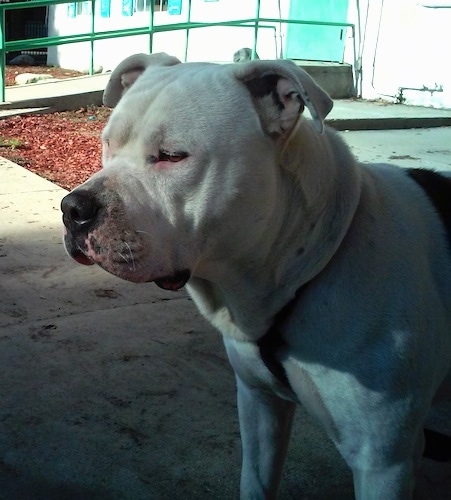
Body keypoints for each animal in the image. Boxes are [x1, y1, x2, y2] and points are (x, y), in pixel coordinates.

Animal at [61, 52, 451, 498]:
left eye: (173, 155)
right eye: (108, 143)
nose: (73, 208)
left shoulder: (384, 462)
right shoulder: (259, 404)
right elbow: (256, 482)